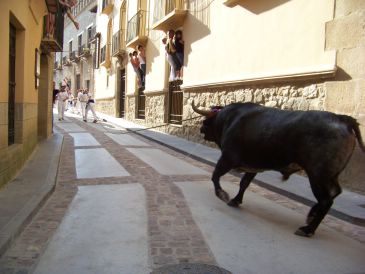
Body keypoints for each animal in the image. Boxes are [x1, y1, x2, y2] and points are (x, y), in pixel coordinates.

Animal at [192, 101, 362, 237]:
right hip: (330, 176)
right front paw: (236, 200)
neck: (228, 119)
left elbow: (215, 176)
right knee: (333, 194)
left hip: (318, 175)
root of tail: (342, 119)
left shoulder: (227, 158)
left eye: (205, 121)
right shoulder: (253, 166)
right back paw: (311, 216)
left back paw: (308, 229)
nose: (200, 129)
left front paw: (222, 194)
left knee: (326, 200)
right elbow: (244, 183)